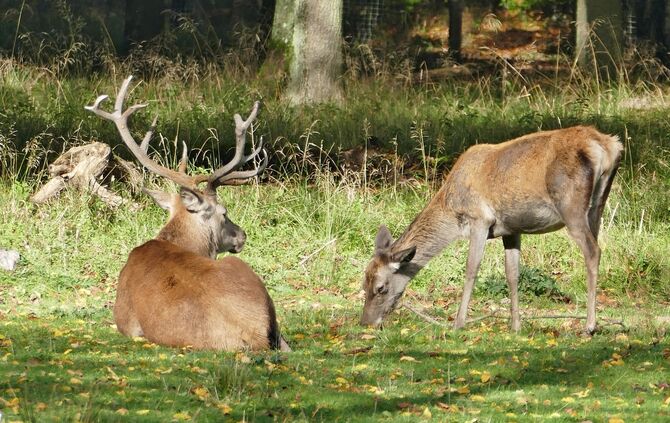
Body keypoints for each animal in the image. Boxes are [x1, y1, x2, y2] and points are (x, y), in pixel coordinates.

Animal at [360, 126, 622, 335]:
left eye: (381, 288)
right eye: (364, 284)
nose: (366, 322)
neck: (452, 209)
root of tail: (608, 146)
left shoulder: (480, 219)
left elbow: (471, 269)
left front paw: (458, 323)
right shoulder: (511, 229)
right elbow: (512, 273)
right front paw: (515, 326)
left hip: (571, 206)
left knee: (593, 251)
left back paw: (589, 326)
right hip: (598, 205)